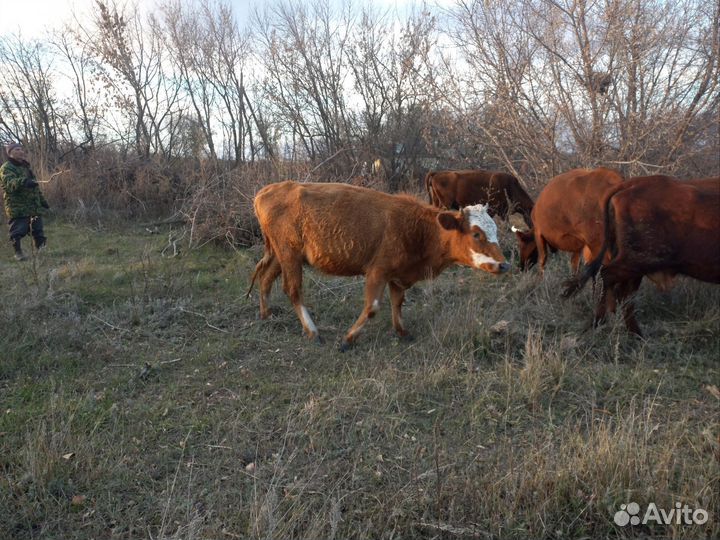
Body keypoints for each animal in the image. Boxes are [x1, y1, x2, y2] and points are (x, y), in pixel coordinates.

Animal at [247, 181, 510, 351]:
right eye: (476, 234)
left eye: (495, 231)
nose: (504, 265)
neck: (419, 230)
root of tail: (266, 191)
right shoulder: (377, 271)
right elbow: (372, 307)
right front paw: (348, 339)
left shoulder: (399, 275)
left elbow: (398, 302)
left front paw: (402, 331)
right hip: (289, 255)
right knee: (293, 290)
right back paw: (312, 331)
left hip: (281, 255)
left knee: (266, 278)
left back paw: (265, 313)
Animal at [562, 175, 720, 336]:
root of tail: (630, 184)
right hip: (637, 262)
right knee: (608, 277)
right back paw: (600, 323)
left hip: (635, 268)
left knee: (623, 292)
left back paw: (633, 332)